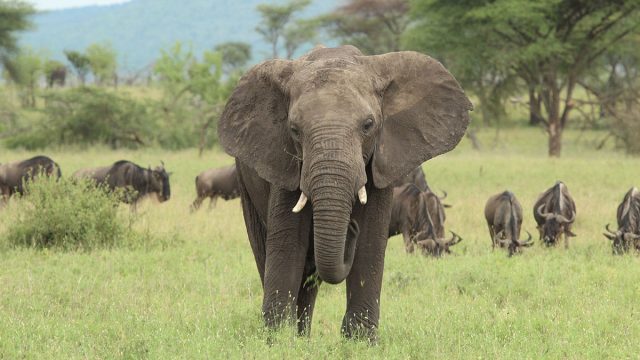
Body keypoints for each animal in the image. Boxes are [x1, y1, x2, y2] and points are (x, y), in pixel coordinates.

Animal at [218, 45, 472, 340]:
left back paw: (303, 336)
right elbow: (287, 242)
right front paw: (277, 339)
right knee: (269, 252)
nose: (351, 227)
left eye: (368, 124)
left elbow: (370, 239)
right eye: (294, 129)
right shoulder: (283, 163)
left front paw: (360, 341)